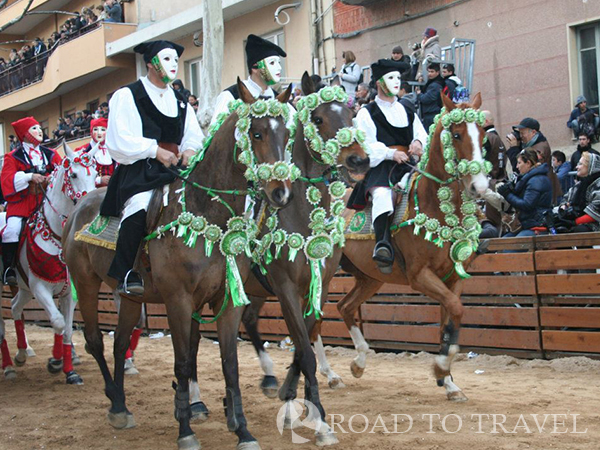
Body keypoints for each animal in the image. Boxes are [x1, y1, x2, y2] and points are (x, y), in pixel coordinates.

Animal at [7, 142, 98, 384]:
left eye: (96, 175)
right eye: (73, 174)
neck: (56, 236)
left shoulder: (69, 291)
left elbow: (66, 328)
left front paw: (69, 370)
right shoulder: (40, 287)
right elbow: (57, 322)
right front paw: (56, 362)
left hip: (24, 289)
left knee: (15, 307)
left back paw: (22, 352)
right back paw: (9, 365)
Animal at [61, 79, 296, 450]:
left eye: (287, 133)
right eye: (256, 133)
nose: (280, 193)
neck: (206, 211)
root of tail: (79, 208)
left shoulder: (226, 300)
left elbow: (229, 362)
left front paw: (242, 431)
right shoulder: (178, 301)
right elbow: (183, 362)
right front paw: (186, 429)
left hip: (130, 297)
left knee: (119, 343)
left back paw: (122, 406)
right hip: (85, 284)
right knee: (96, 340)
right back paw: (114, 402)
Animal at [314, 91, 492, 400]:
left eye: (482, 133)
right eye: (457, 135)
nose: (479, 187)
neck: (436, 205)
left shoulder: (452, 278)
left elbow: (449, 321)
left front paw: (448, 381)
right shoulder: (420, 276)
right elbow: (456, 311)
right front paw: (440, 370)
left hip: (370, 277)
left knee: (346, 307)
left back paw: (359, 362)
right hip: (324, 275)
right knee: (314, 320)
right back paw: (330, 375)